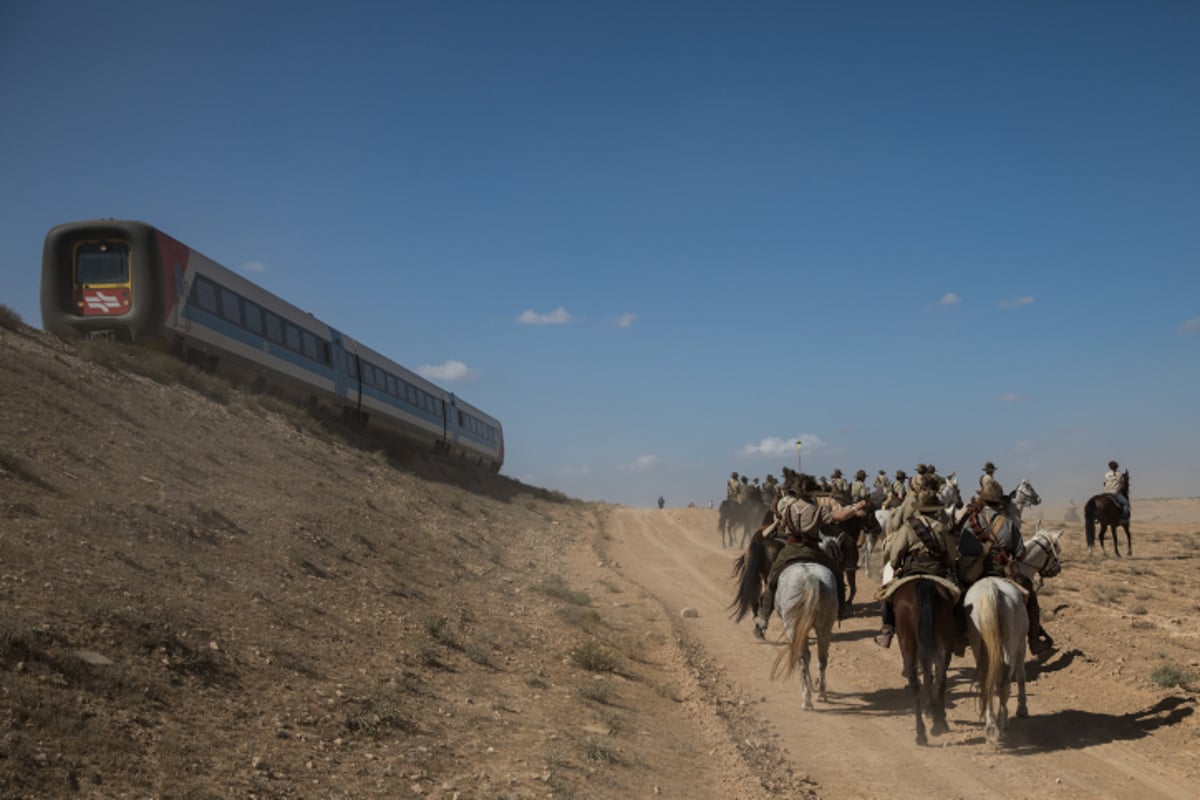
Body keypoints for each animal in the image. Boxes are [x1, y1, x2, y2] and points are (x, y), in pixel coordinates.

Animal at [768, 561, 835, 710]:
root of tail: (811, 578)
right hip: (825, 628)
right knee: (822, 658)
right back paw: (821, 693)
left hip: (793, 628)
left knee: (802, 658)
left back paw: (807, 700)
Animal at [892, 578, 955, 748]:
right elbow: (929, 677)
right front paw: (934, 711)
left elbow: (925, 678)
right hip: (943, 639)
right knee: (940, 675)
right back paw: (939, 724)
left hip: (908, 641)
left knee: (915, 682)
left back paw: (921, 733)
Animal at [960, 578, 1027, 748]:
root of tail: (992, 588)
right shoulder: (1022, 644)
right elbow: (1021, 676)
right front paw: (1022, 709)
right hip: (1010, 644)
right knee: (1001, 683)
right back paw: (999, 726)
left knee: (991, 682)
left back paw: (993, 726)